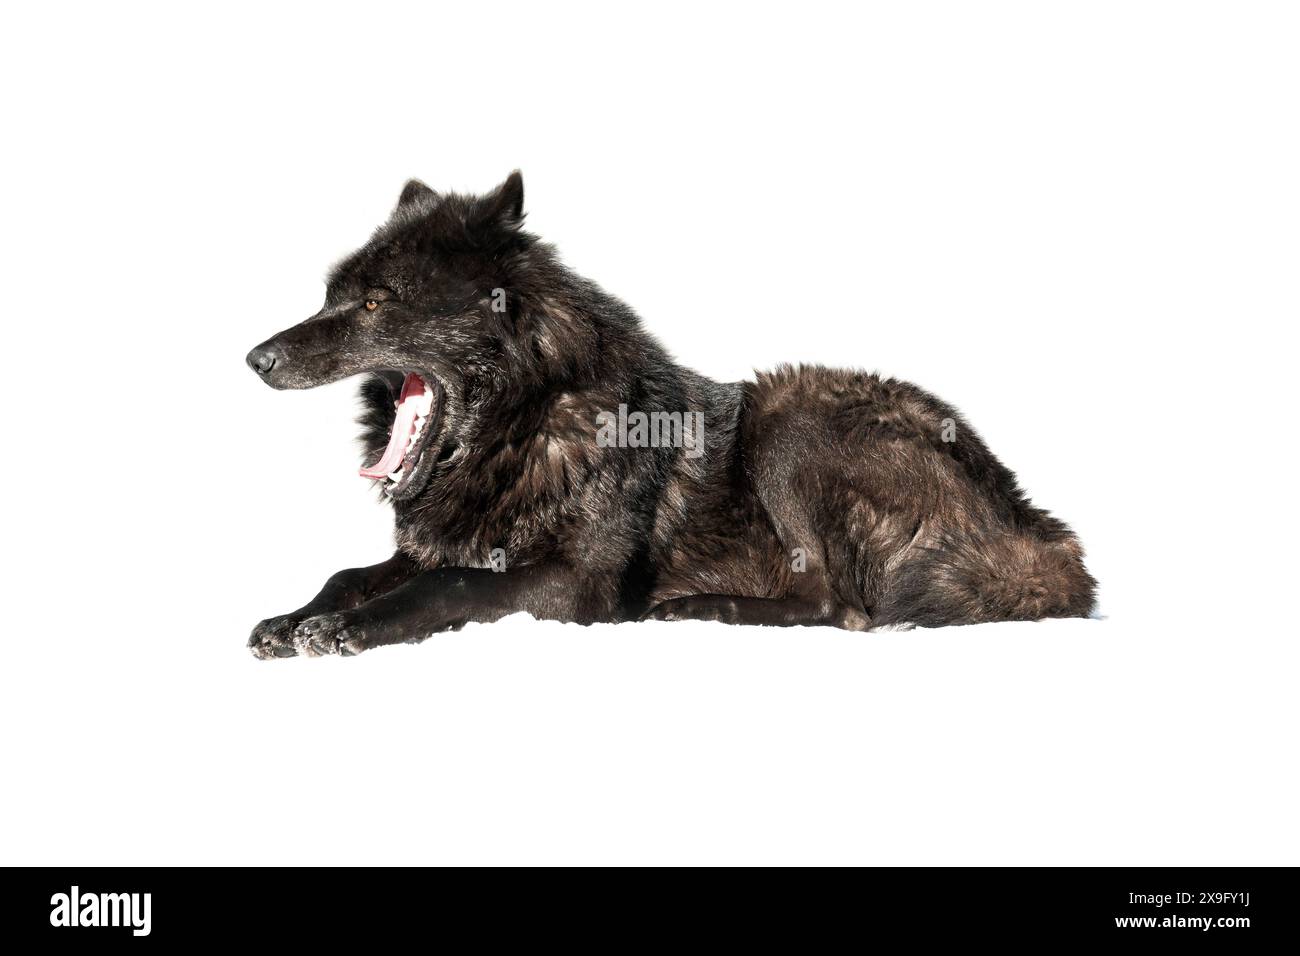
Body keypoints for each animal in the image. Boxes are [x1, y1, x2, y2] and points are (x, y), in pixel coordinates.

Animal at [246, 173, 1095, 658]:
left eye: (377, 303)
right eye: (331, 296)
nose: (257, 358)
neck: (525, 428)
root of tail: (1036, 526)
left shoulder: (575, 588)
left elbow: (445, 587)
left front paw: (346, 630)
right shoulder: (430, 545)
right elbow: (350, 572)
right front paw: (295, 619)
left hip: (788, 417)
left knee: (844, 609)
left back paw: (694, 607)